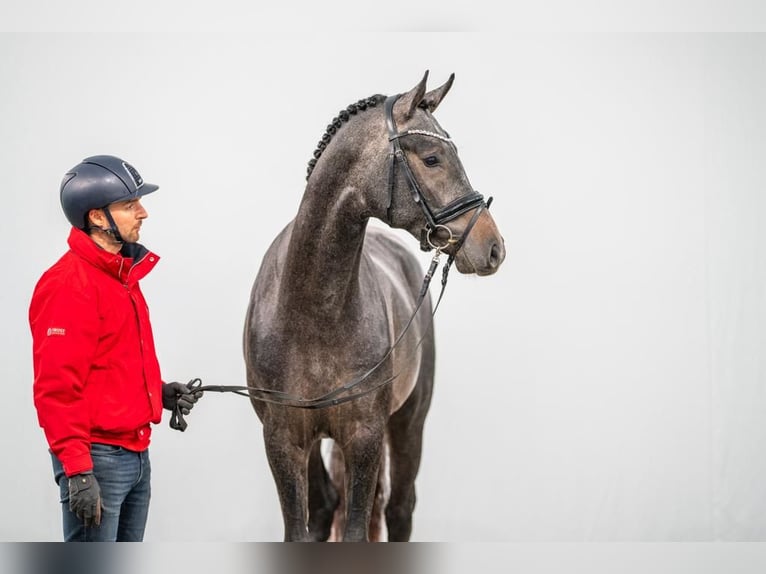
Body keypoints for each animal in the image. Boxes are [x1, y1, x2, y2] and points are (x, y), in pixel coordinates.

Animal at [243, 72, 508, 544]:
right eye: (433, 158)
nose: (492, 247)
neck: (312, 313)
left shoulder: (364, 436)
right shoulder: (282, 439)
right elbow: (300, 526)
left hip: (408, 422)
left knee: (400, 508)